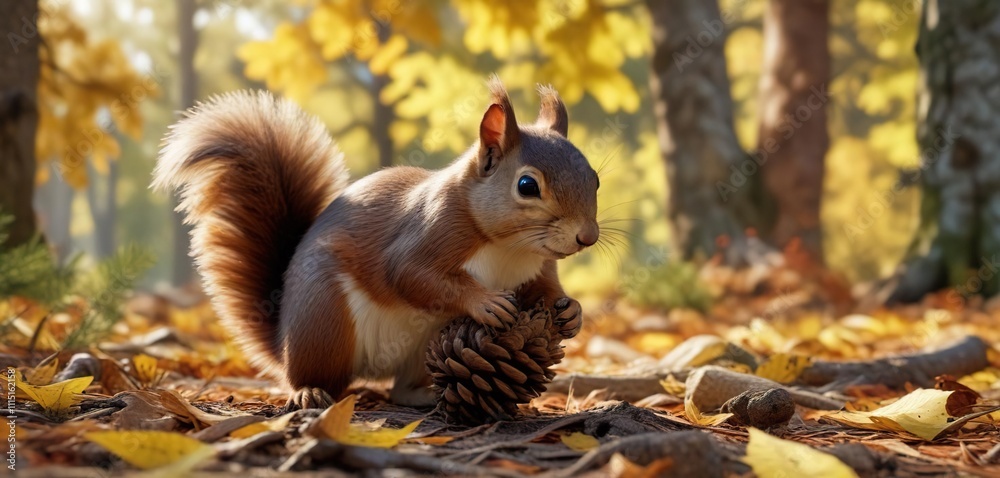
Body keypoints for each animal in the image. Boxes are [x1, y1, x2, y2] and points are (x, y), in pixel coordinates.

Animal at [152, 78, 600, 409]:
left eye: (594, 177)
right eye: (526, 186)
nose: (587, 237)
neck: (511, 248)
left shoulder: (540, 265)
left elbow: (545, 288)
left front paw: (570, 310)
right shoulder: (432, 229)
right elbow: (410, 275)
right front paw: (485, 301)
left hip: (422, 345)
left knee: (399, 388)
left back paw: (423, 395)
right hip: (324, 319)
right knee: (313, 376)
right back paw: (308, 391)